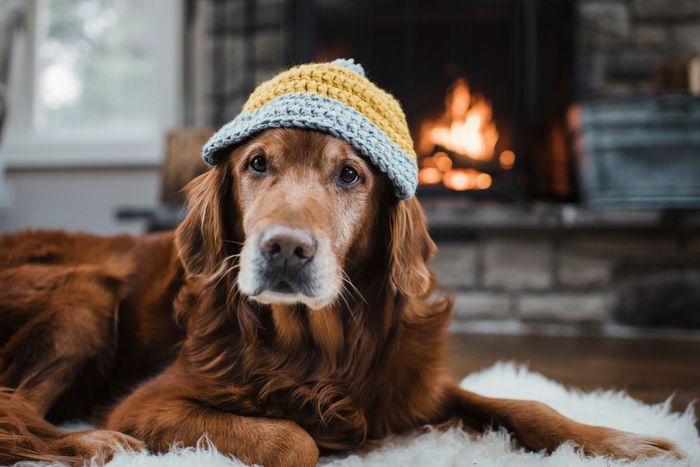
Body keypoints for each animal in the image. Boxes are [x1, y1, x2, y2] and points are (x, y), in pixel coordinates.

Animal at [0, 129, 684, 467]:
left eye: (350, 174)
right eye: (256, 164)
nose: (284, 249)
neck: (318, 348)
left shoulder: (410, 387)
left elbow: (526, 405)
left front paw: (626, 442)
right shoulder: (147, 404)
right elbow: (289, 439)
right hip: (84, 295)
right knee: (16, 407)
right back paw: (86, 444)